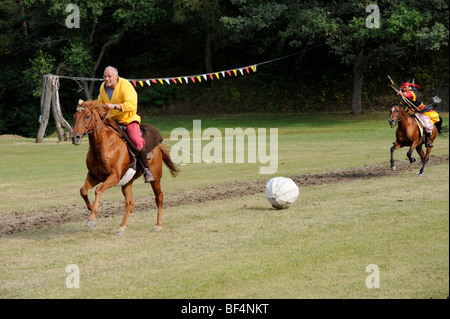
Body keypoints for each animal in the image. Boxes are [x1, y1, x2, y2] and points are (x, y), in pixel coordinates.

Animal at [71, 100, 178, 235]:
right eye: (74, 116)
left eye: (87, 116)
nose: (75, 137)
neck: (103, 145)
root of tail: (158, 147)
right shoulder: (94, 176)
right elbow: (83, 190)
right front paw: (91, 207)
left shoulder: (114, 177)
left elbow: (98, 190)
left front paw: (92, 218)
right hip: (127, 183)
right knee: (130, 203)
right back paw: (122, 227)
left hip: (156, 178)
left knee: (159, 197)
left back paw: (158, 225)